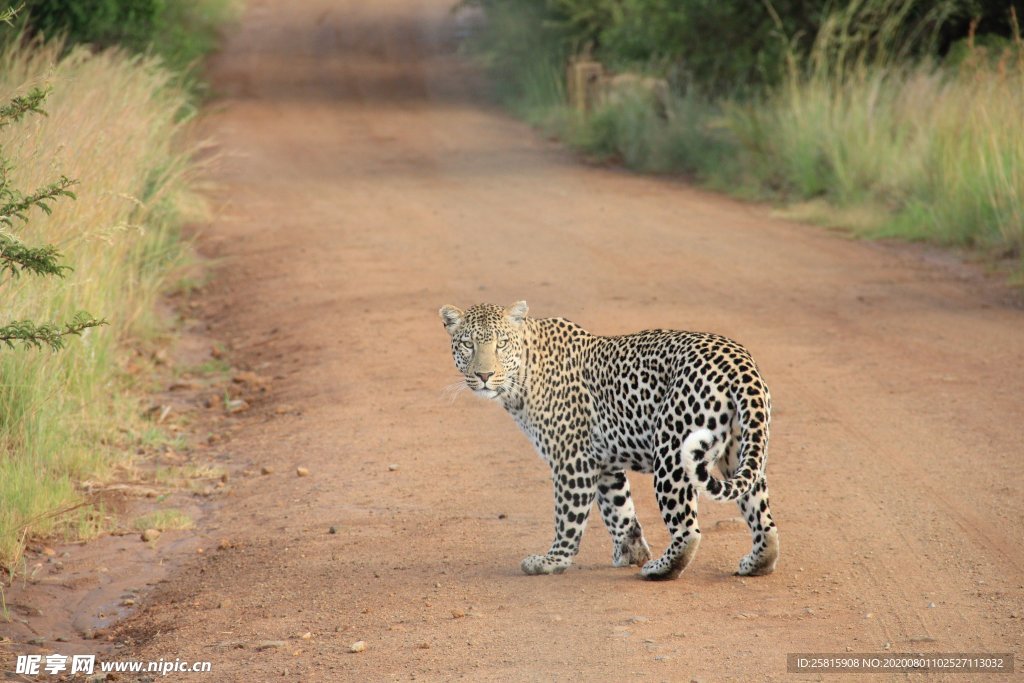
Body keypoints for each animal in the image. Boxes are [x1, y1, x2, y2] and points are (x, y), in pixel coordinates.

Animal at [436, 301, 778, 581]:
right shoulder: (604, 463)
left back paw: (660, 569)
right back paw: (756, 563)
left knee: (688, 530)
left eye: (502, 344)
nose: (484, 375)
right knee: (763, 518)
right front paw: (631, 552)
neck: (523, 376)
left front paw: (551, 562)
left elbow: (568, 517)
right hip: (740, 450)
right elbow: (620, 510)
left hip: (672, 452)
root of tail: (739, 362)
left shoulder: (572, 459)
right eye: (467, 344)